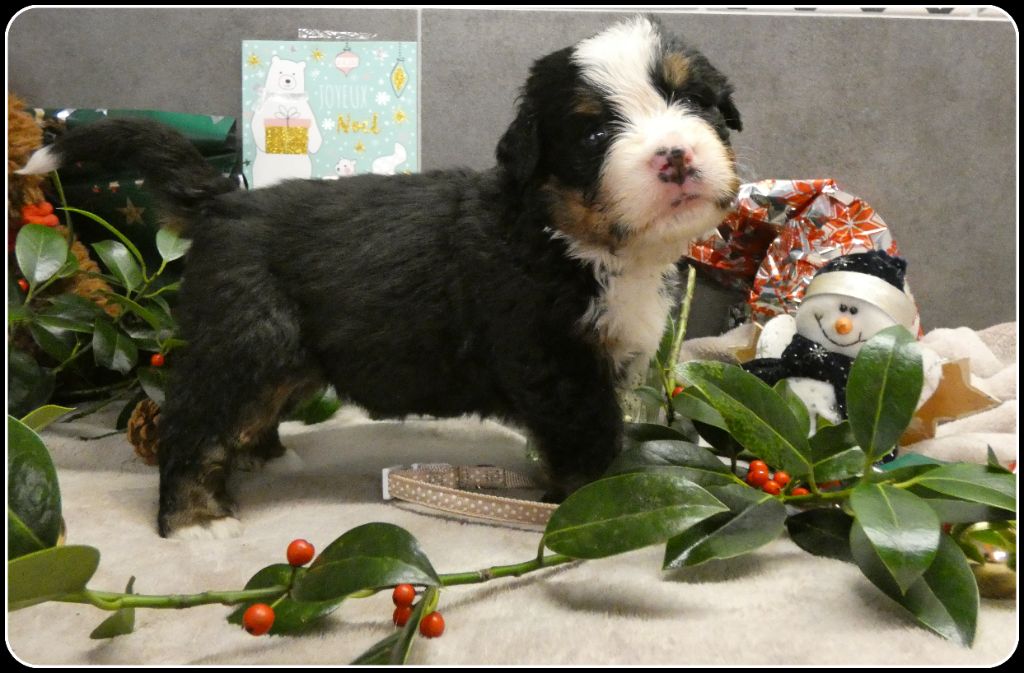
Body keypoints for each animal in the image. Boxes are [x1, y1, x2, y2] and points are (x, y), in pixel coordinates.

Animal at [20, 15, 742, 539]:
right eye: (594, 136)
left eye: (692, 100)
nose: (675, 156)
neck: (571, 238)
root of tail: (226, 200)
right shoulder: (558, 368)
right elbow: (591, 448)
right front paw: (609, 502)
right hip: (245, 340)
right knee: (194, 423)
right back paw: (196, 520)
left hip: (281, 356)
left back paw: (268, 457)